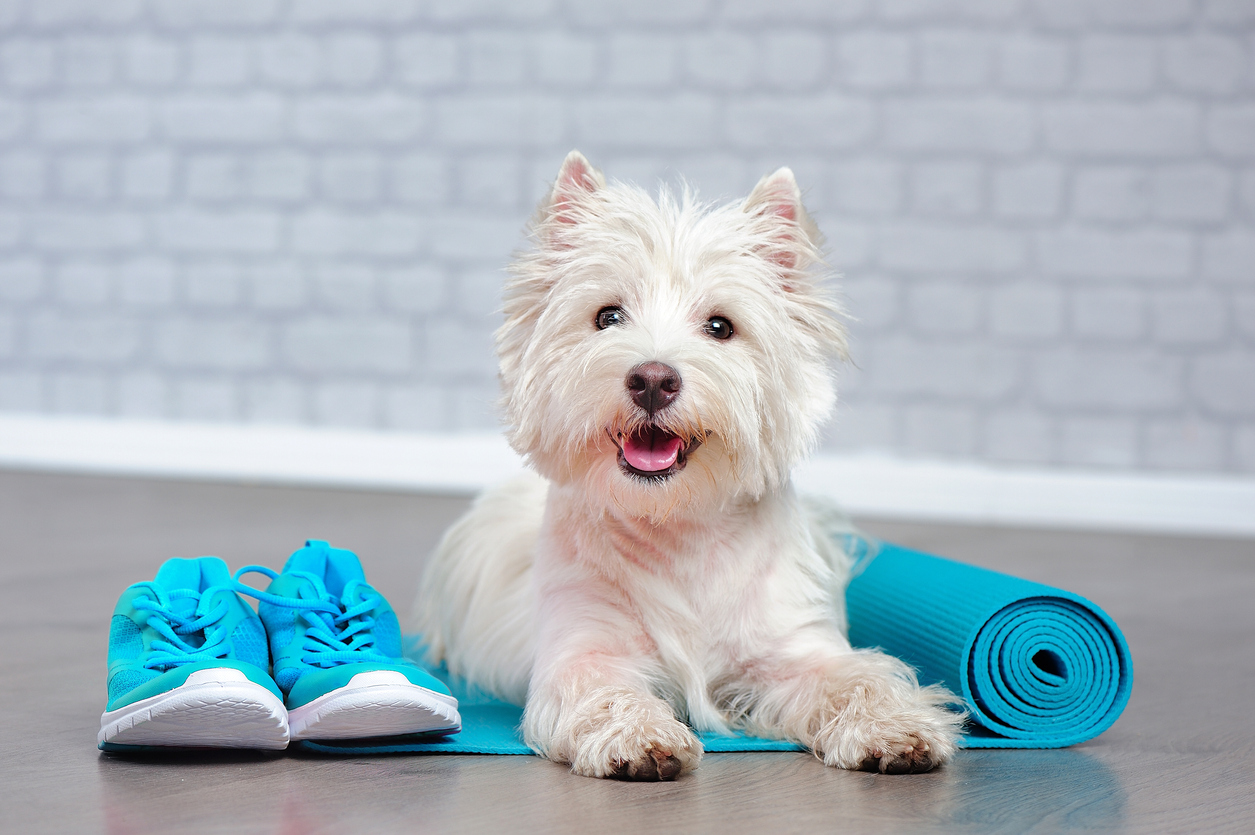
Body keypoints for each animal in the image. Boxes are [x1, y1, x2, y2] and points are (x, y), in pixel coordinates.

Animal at [419, 151, 958, 783]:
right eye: (607, 316)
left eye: (721, 326)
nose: (652, 379)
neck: (678, 528)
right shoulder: (583, 649)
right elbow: (602, 690)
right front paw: (642, 738)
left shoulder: (793, 649)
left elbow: (857, 678)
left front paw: (895, 729)